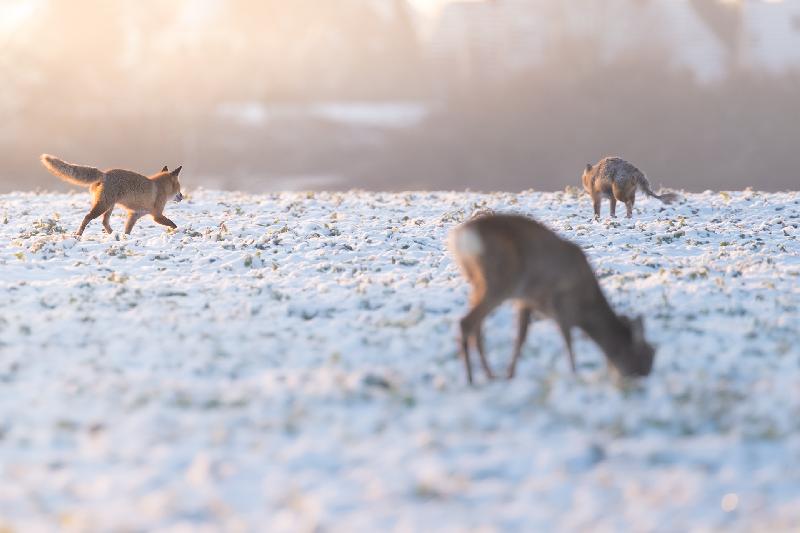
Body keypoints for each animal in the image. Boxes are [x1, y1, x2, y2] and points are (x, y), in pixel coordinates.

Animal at [40, 154, 184, 236]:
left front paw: (126, 238)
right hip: (103, 206)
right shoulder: (157, 215)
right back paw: (79, 234)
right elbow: (173, 224)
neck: (160, 187)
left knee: (104, 222)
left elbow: (127, 230)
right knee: (87, 217)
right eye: (179, 187)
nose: (182, 196)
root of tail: (104, 174)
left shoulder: (134, 215)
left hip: (110, 207)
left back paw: (113, 235)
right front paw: (177, 231)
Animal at [449, 213, 654, 384]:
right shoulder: (562, 305)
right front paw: (574, 374)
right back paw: (471, 380)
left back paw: (489, 375)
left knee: (476, 328)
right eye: (647, 355)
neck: (585, 307)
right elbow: (568, 341)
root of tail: (461, 236)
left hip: (479, 283)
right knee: (467, 322)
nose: (643, 380)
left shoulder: (526, 300)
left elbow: (521, 338)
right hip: (500, 282)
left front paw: (510, 375)